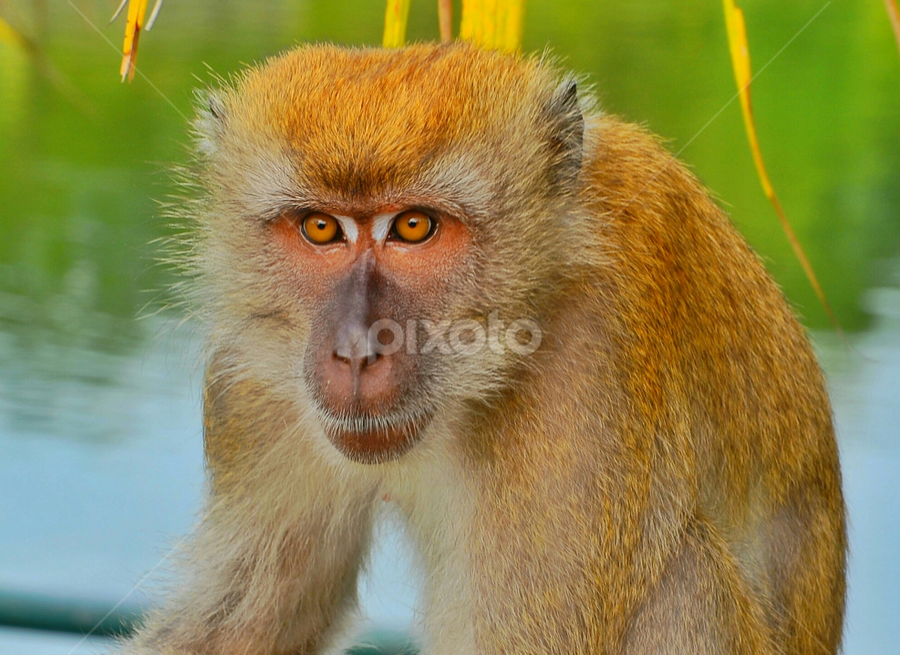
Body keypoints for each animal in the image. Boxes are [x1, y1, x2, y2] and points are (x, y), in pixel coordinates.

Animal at [122, 43, 846, 654]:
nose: (355, 348)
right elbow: (246, 618)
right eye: (321, 228)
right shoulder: (255, 375)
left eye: (415, 226)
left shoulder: (588, 371)